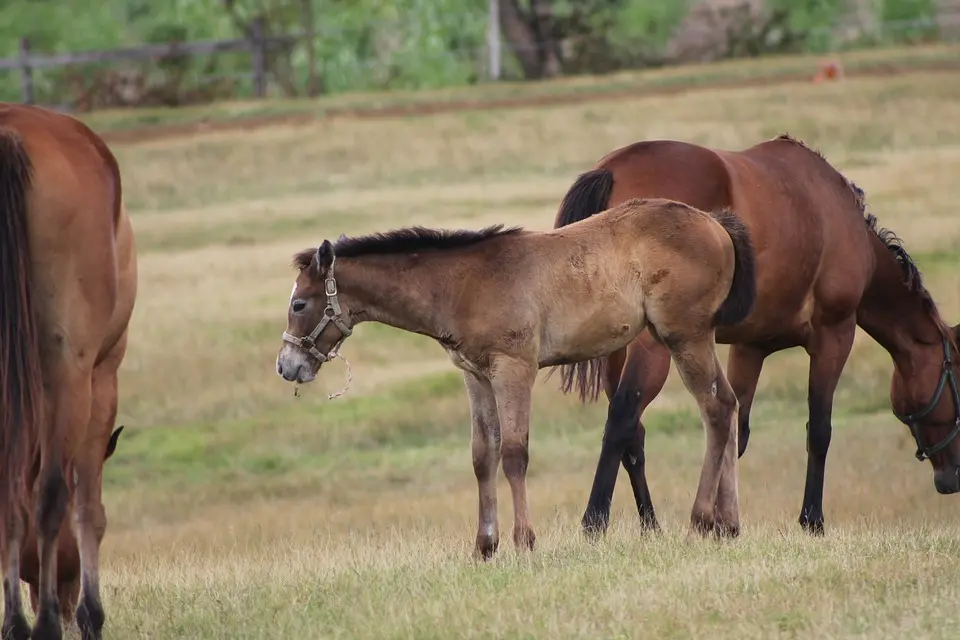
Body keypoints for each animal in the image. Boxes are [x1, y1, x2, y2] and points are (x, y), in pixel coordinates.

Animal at [0, 104, 139, 640]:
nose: (60, 597)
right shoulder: (102, 379)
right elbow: (88, 507)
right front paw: (90, 615)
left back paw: (20, 624)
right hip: (72, 374)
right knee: (53, 493)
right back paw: (42, 627)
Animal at [276, 198, 756, 556]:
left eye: (299, 303)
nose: (286, 366)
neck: (461, 284)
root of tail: (713, 222)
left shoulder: (514, 369)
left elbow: (513, 453)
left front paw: (524, 541)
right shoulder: (475, 376)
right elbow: (482, 455)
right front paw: (484, 546)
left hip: (684, 336)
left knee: (715, 410)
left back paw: (701, 521)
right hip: (691, 338)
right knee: (730, 405)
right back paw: (729, 524)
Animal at [552, 132, 960, 536]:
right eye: (957, 375)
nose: (950, 479)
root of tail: (612, 169)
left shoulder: (750, 347)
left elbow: (736, 430)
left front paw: (722, 524)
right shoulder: (835, 335)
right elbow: (819, 430)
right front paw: (812, 520)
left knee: (635, 436)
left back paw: (651, 526)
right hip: (652, 347)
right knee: (623, 418)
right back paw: (595, 521)